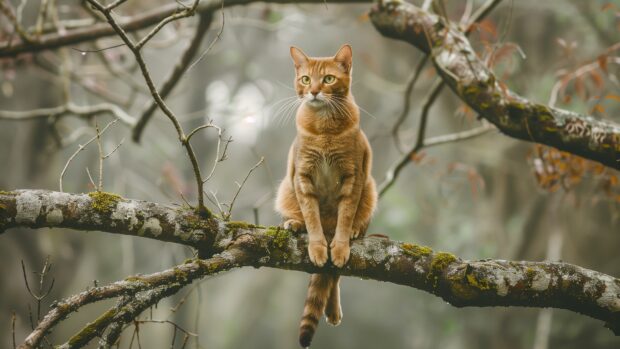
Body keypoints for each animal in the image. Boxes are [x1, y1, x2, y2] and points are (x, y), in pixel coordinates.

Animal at [276, 44, 378, 346]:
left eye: (329, 79)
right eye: (306, 79)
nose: (313, 91)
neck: (324, 130)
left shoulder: (353, 178)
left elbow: (344, 218)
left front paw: (341, 246)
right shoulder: (303, 178)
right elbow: (312, 219)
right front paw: (318, 246)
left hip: (370, 189)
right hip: (286, 188)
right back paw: (295, 224)